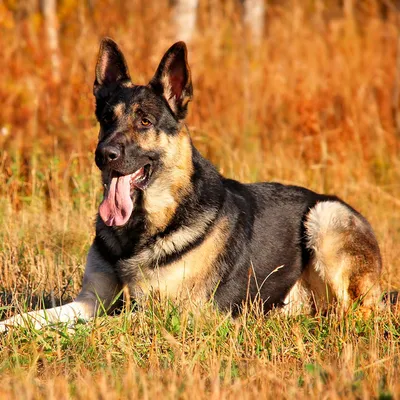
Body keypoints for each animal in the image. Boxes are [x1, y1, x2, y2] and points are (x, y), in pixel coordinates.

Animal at [0, 37, 382, 332]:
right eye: (106, 118)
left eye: (144, 121)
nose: (104, 154)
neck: (142, 229)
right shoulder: (90, 301)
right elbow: (34, 317)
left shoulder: (164, 314)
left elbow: (95, 325)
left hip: (324, 216)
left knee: (355, 311)